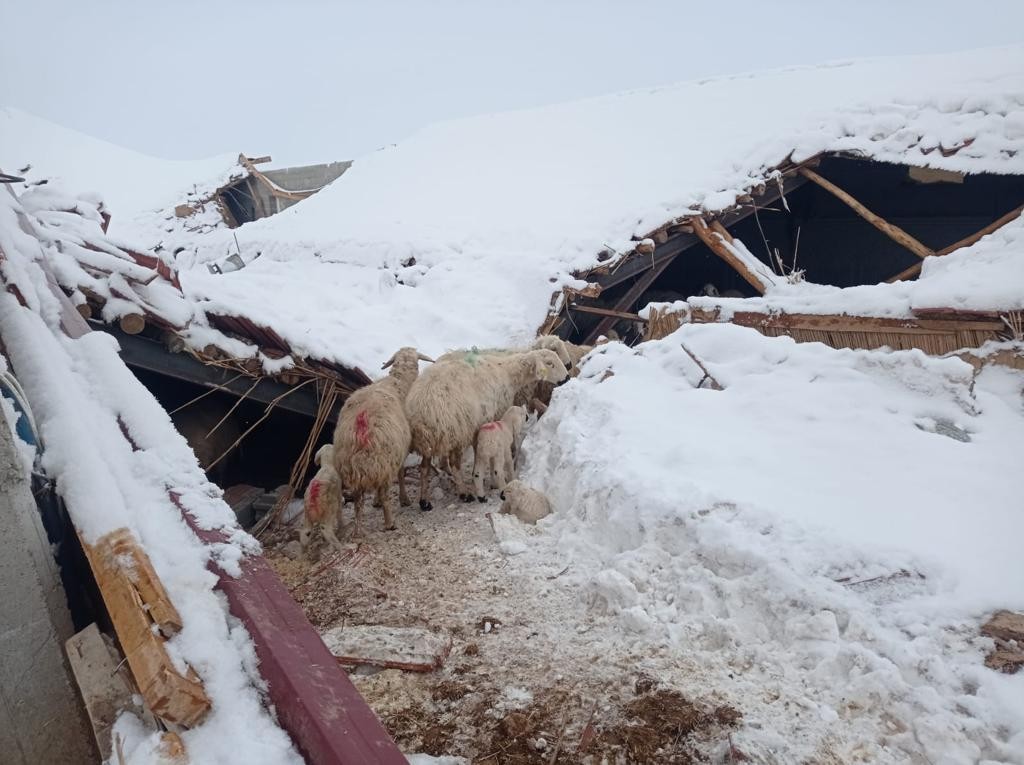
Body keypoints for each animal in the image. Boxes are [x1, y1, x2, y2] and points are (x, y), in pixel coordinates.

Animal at [331, 348, 432, 536]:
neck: (399, 381)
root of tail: (361, 426)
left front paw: (375, 502)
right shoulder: (400, 451)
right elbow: (400, 474)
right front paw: (403, 499)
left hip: (355, 465)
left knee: (358, 501)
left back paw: (357, 531)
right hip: (384, 459)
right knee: (384, 493)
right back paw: (389, 523)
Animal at [405, 348, 569, 507]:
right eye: (550, 363)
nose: (567, 378)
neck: (507, 372)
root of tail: (423, 409)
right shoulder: (494, 417)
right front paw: (492, 481)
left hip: (429, 441)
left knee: (424, 467)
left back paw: (424, 501)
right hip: (456, 432)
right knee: (454, 464)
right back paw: (464, 493)